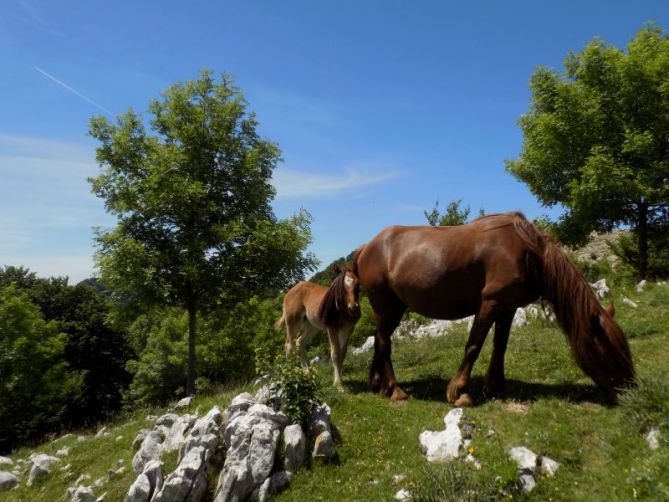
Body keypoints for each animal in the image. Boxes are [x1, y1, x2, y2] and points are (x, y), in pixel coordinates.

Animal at [352, 211, 636, 404]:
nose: (631, 392)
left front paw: (496, 385)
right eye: (611, 351)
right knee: (385, 342)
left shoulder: (508, 308)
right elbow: (474, 346)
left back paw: (378, 384)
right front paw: (460, 392)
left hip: (395, 307)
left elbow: (500, 345)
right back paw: (395, 390)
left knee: (380, 339)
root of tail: (367, 247)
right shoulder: (490, 303)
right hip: (385, 304)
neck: (529, 253)